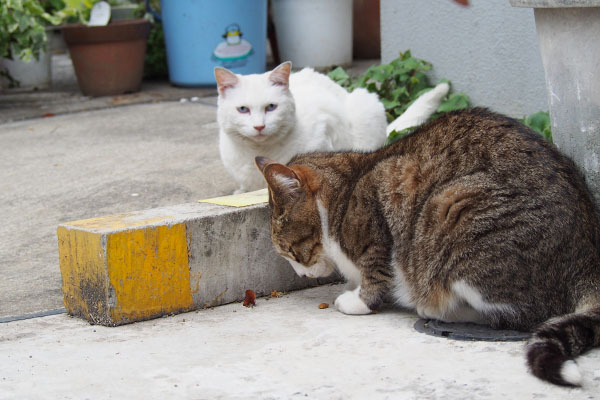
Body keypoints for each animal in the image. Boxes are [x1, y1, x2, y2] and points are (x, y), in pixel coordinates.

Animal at [213, 61, 448, 195]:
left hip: (365, 104)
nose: (259, 126)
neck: (259, 152)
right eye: (243, 109)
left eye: (271, 107)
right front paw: (240, 192)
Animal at [255, 108, 600, 386]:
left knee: (524, 314)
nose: (302, 275)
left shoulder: (378, 216)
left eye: (289, 250)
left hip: (451, 209)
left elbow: (375, 273)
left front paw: (358, 300)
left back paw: (437, 308)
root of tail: (587, 250)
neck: (345, 191)